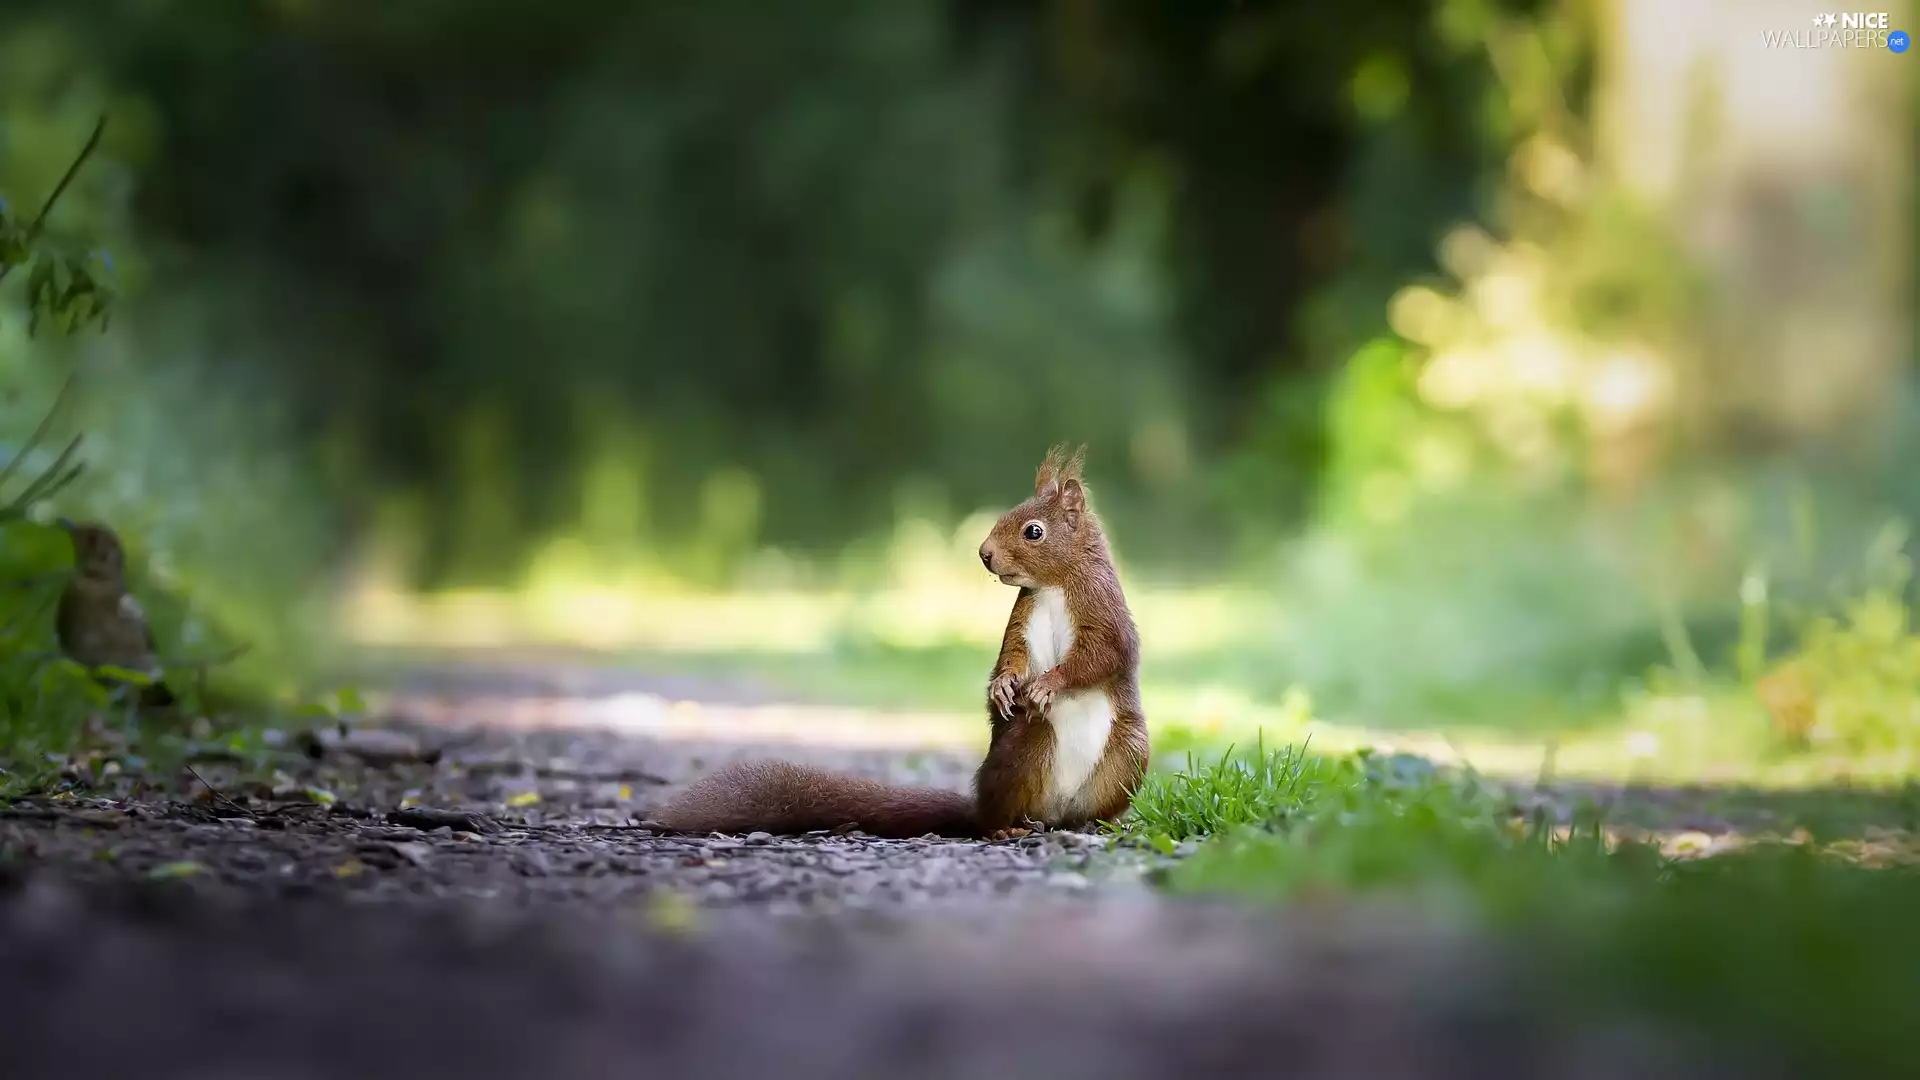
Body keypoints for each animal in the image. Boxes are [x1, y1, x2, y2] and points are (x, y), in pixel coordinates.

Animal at [643, 444, 1149, 840]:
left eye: (1034, 531)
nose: (984, 554)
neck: (1054, 585)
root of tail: (1054, 813)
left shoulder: (1103, 611)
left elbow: (1100, 656)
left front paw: (1048, 684)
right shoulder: (1023, 618)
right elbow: (1013, 656)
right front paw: (1004, 686)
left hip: (1128, 753)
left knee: (1090, 807)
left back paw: (1102, 823)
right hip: (1027, 747)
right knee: (997, 813)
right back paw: (1005, 827)